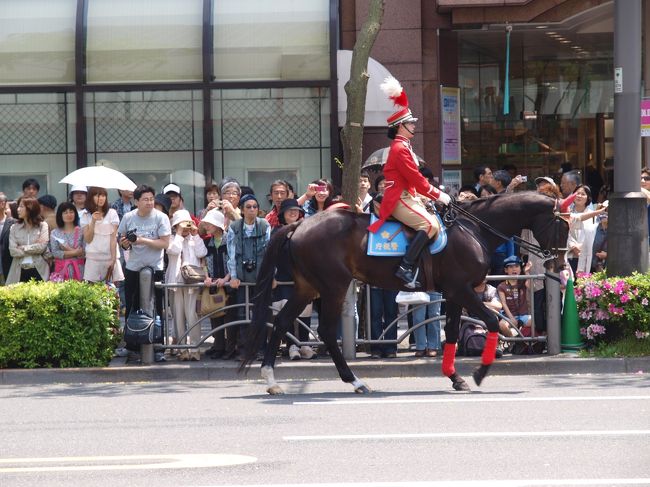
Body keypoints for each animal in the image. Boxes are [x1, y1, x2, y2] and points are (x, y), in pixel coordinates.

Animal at [240, 193, 564, 394]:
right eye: (562, 223)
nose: (559, 265)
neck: (473, 229)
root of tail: (299, 224)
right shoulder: (463, 290)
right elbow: (493, 322)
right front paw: (479, 373)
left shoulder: (455, 292)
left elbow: (452, 332)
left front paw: (455, 377)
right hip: (333, 287)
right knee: (328, 332)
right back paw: (355, 381)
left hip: (307, 287)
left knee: (282, 322)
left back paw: (271, 380)